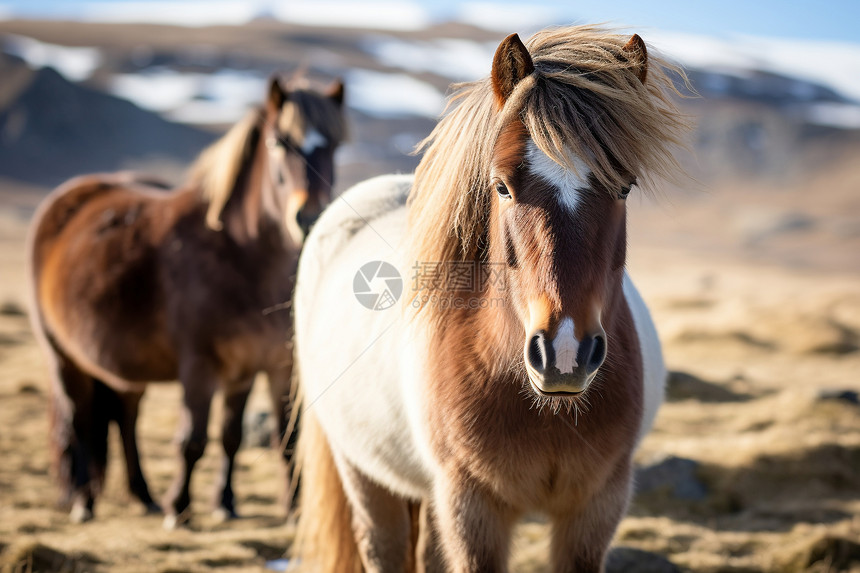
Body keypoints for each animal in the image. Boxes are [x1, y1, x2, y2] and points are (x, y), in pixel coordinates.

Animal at [28, 77, 348, 528]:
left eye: (334, 144)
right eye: (278, 142)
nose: (310, 216)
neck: (240, 256)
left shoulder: (266, 366)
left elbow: (255, 437)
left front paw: (237, 505)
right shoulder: (200, 366)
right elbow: (192, 439)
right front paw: (178, 508)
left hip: (122, 371)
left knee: (125, 417)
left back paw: (143, 496)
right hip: (63, 357)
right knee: (79, 421)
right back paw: (84, 503)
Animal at [292, 25, 688, 568]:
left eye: (624, 187)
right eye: (501, 187)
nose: (565, 353)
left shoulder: (596, 507)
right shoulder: (471, 507)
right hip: (364, 471)